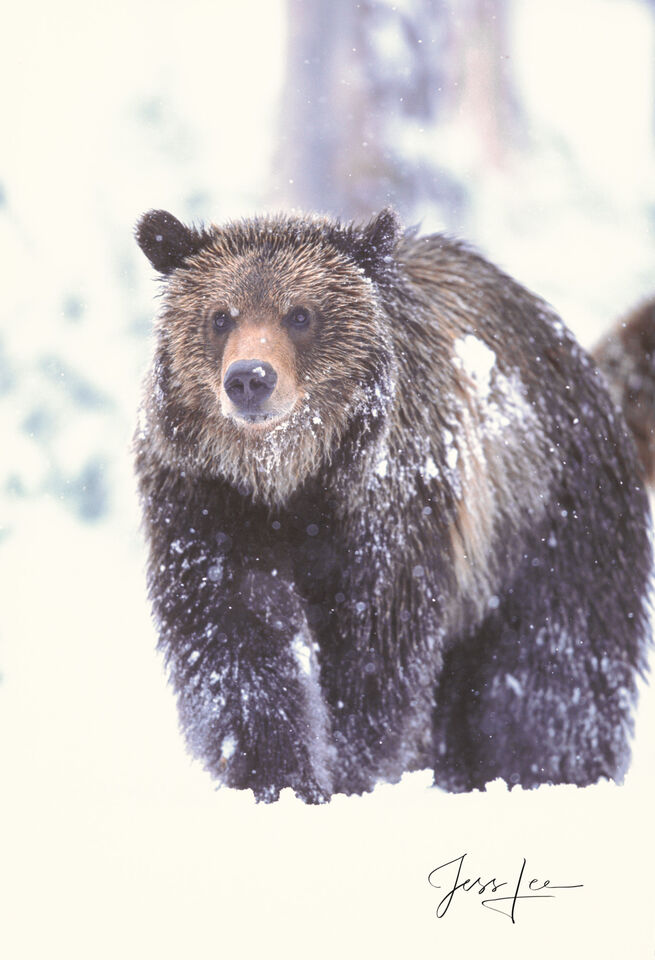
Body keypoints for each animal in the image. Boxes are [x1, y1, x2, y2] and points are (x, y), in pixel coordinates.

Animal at [134, 207, 652, 802]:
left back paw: (551, 771)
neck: (292, 481)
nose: (249, 379)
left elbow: (375, 653)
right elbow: (238, 638)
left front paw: (347, 769)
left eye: (300, 314)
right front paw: (278, 774)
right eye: (220, 316)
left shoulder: (392, 508)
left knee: (553, 671)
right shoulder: (209, 502)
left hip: (552, 523)